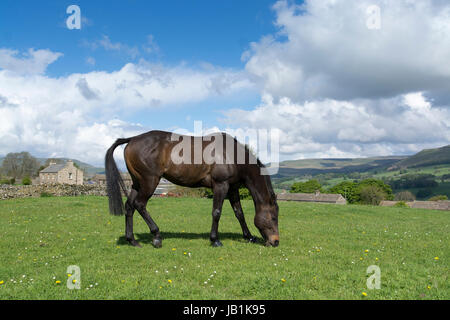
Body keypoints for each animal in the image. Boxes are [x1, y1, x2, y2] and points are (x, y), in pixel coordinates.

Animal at [105, 129, 280, 248]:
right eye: (273, 218)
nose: (275, 241)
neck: (231, 155)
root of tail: (132, 139)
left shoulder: (232, 189)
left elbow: (240, 214)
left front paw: (249, 237)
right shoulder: (221, 185)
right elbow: (217, 212)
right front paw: (215, 240)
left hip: (137, 183)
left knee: (129, 206)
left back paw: (132, 240)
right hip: (150, 181)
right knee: (140, 205)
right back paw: (156, 236)